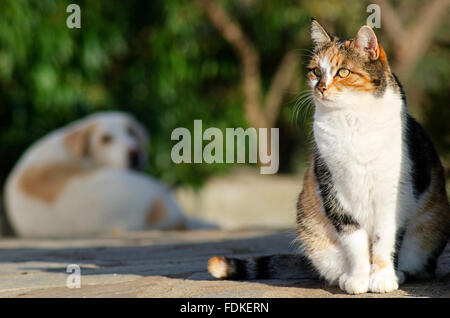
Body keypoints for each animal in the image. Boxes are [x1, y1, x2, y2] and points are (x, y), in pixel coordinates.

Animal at [208, 19, 450, 294]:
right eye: (315, 71)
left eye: (343, 72)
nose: (321, 88)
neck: (352, 120)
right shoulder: (333, 189)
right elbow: (353, 240)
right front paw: (358, 279)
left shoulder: (395, 192)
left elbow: (384, 239)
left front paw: (383, 279)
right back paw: (344, 277)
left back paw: (400, 273)